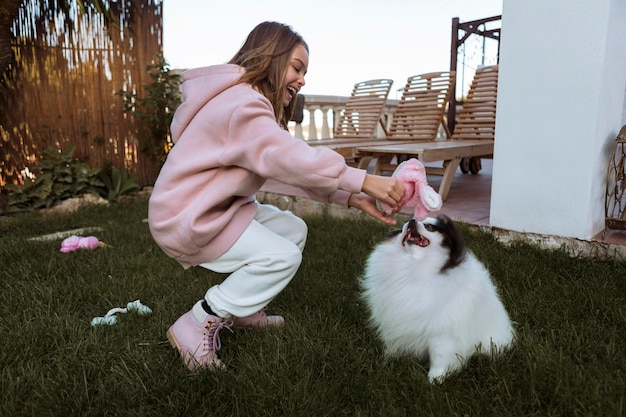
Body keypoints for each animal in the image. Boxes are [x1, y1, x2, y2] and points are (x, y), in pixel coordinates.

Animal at [360, 216, 512, 382]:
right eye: (402, 228)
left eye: (430, 227)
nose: (412, 220)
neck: (416, 266)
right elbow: (393, 343)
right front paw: (388, 359)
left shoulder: (442, 331)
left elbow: (439, 355)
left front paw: (435, 379)